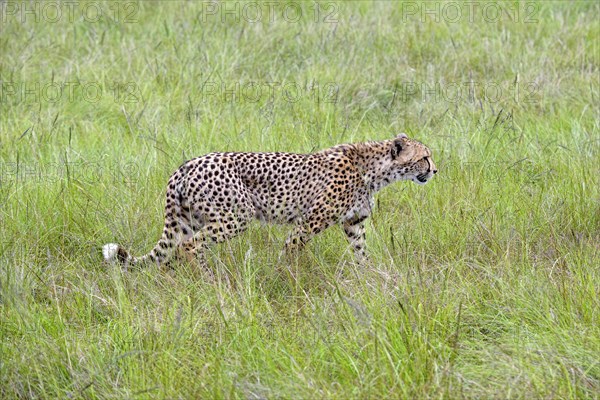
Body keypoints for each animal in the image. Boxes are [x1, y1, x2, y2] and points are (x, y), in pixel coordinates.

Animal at [103, 133, 438, 268]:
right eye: (424, 157)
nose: (435, 170)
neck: (375, 169)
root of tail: (186, 165)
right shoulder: (308, 222)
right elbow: (290, 251)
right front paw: (285, 278)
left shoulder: (353, 223)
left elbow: (361, 253)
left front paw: (369, 277)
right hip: (236, 217)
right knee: (190, 247)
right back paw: (208, 280)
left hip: (188, 220)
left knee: (172, 251)